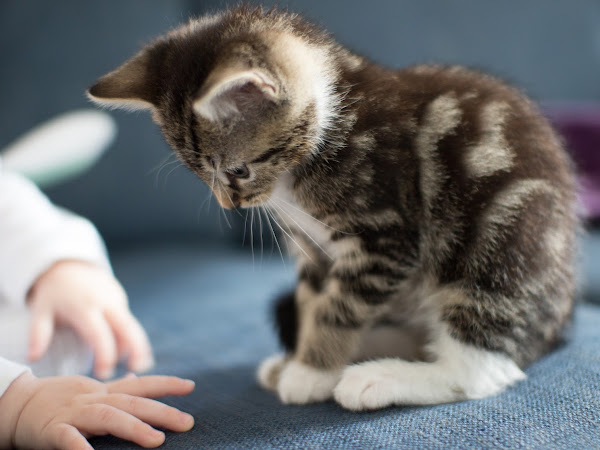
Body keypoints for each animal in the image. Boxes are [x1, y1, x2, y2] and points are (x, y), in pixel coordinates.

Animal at [88, 5, 576, 410]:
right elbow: (312, 301)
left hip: (503, 244)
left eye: (238, 171)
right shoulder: (312, 247)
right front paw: (301, 359)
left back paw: (379, 378)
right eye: (201, 175)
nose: (232, 204)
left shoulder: (386, 235)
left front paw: (310, 372)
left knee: (480, 368)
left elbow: (340, 308)